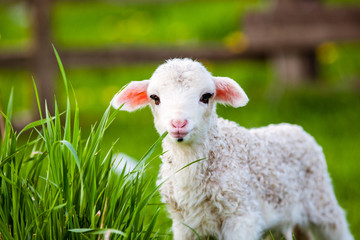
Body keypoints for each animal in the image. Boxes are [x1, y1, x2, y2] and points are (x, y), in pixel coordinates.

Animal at [111, 58, 352, 240]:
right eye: (155, 98)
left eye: (206, 96)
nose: (178, 124)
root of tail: (293, 127)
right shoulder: (183, 224)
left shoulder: (242, 217)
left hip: (322, 201)